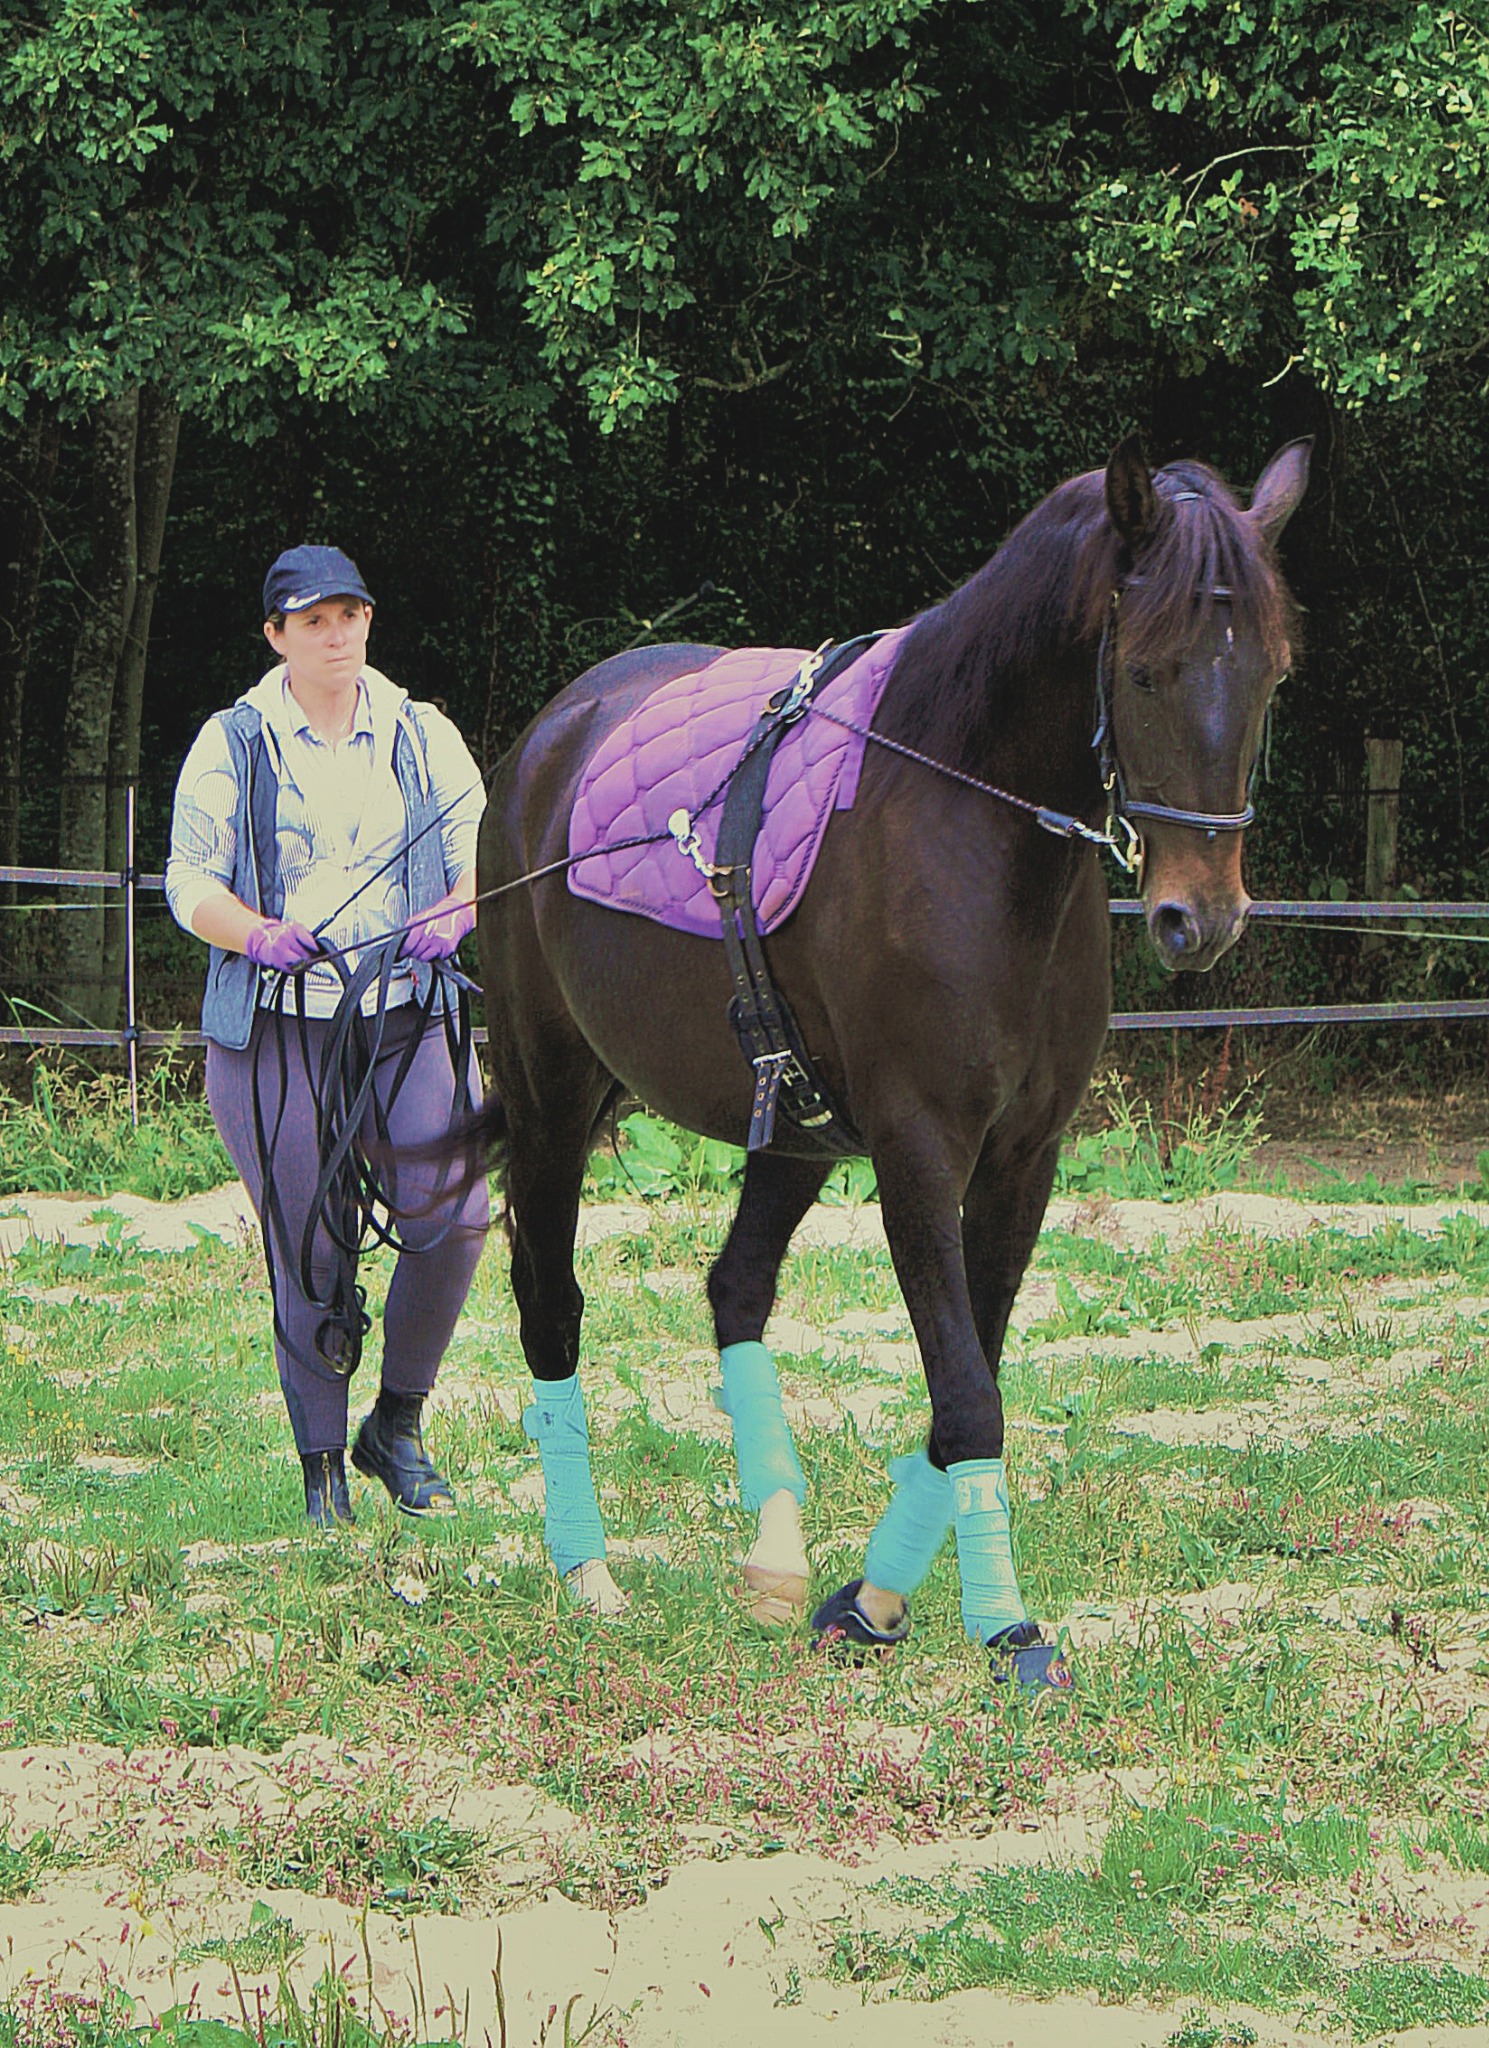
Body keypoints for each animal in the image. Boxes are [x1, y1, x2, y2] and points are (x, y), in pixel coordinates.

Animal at [467, 434, 1310, 1684]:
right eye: (1148, 671)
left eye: (1268, 674)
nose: (1196, 919)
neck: (967, 823)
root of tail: (549, 737)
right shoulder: (919, 1148)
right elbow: (966, 1395)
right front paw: (1007, 1627)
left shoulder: (1021, 1155)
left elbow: (972, 1375)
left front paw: (867, 1601)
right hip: (548, 1094)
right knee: (549, 1302)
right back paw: (589, 1575)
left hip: (791, 1124)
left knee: (735, 1287)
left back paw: (772, 1558)